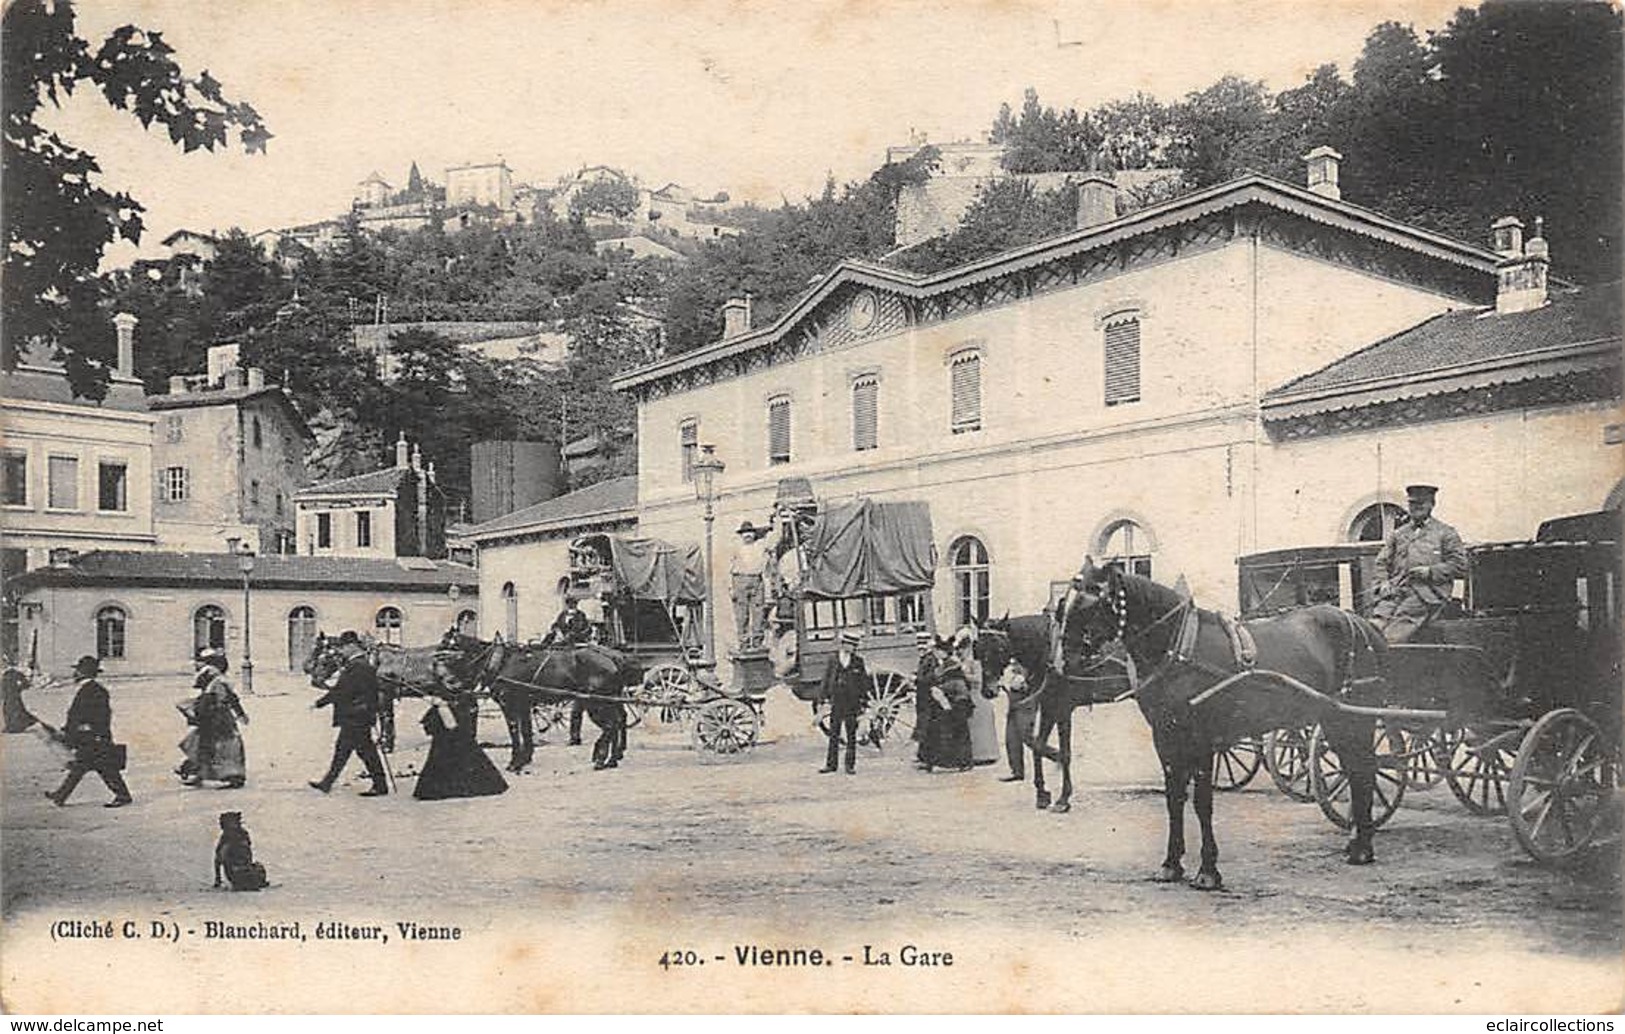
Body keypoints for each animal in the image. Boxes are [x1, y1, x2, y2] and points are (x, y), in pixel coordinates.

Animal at [438, 634, 640, 770]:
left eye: (445, 650)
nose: (449, 684)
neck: (501, 662)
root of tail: (613, 658)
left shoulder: (509, 704)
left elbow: (514, 731)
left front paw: (514, 763)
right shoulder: (524, 705)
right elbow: (526, 731)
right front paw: (526, 758)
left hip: (596, 703)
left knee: (611, 725)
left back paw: (601, 757)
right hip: (608, 700)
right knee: (617, 721)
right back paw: (612, 758)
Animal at [1059, 556, 1391, 890]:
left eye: (1094, 600)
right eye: (1065, 601)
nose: (1064, 661)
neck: (1180, 647)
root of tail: (1362, 624)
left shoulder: (1202, 739)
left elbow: (1202, 802)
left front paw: (1207, 871)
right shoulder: (1165, 737)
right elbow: (1174, 799)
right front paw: (1171, 864)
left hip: (1352, 719)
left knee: (1364, 771)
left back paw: (1362, 848)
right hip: (1334, 721)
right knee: (1356, 771)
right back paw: (1357, 842)